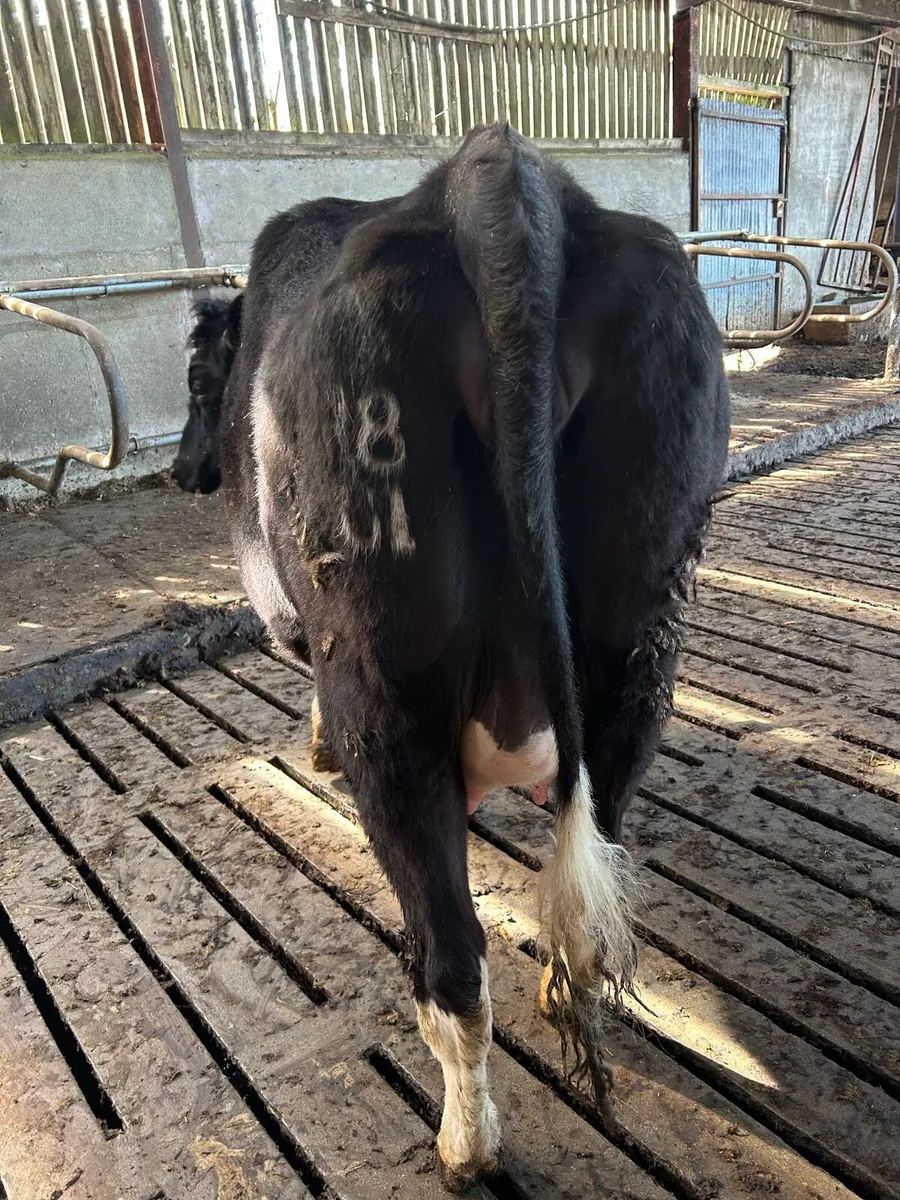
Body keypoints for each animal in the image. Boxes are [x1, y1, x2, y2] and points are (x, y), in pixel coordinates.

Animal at [221, 124, 730, 1190]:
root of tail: (496, 180)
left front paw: (313, 745)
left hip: (387, 677)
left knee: (450, 956)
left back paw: (465, 1143)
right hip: (638, 638)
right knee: (600, 843)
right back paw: (560, 991)